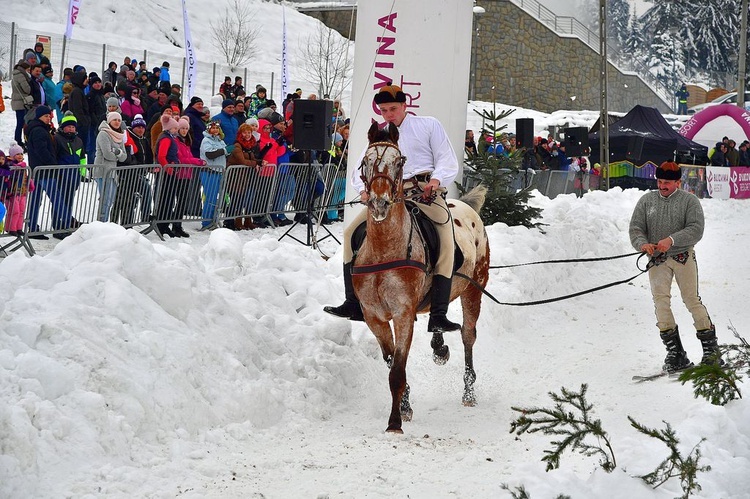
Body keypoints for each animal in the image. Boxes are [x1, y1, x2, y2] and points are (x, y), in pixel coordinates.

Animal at [354, 122, 490, 434]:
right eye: (366, 161)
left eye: (399, 161)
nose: (379, 203)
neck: (385, 249)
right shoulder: (374, 317)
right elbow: (392, 363)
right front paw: (405, 407)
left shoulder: (403, 314)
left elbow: (397, 370)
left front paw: (394, 422)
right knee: (438, 315)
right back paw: (439, 345)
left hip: (474, 290)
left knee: (468, 335)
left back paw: (468, 392)